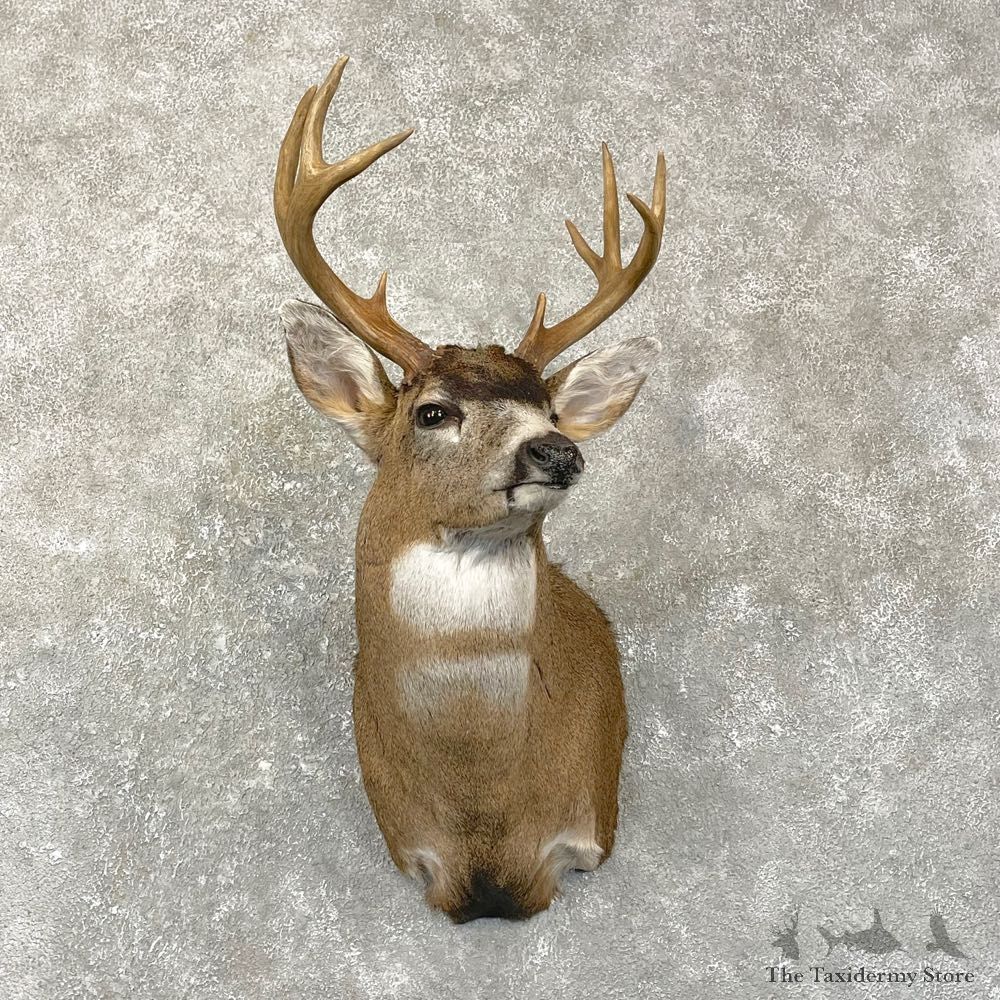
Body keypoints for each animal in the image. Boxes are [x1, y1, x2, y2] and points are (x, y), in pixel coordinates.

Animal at [274, 57, 666, 922]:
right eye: (433, 410)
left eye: (551, 409)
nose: (557, 450)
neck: (483, 812)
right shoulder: (413, 853)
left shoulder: (585, 831)